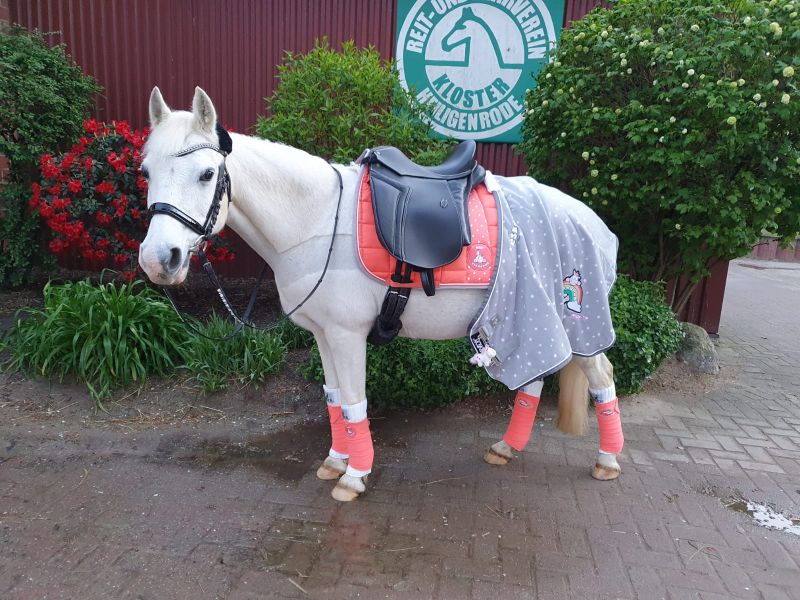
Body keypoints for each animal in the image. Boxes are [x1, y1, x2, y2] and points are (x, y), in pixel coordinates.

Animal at [138, 87, 625, 502]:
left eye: (206, 174)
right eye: (146, 172)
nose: (160, 259)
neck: (318, 220)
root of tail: (591, 220)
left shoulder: (347, 334)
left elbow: (355, 402)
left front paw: (354, 476)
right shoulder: (323, 335)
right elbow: (334, 398)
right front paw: (336, 461)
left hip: (575, 321)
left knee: (602, 377)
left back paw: (608, 460)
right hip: (530, 316)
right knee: (534, 379)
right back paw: (507, 448)